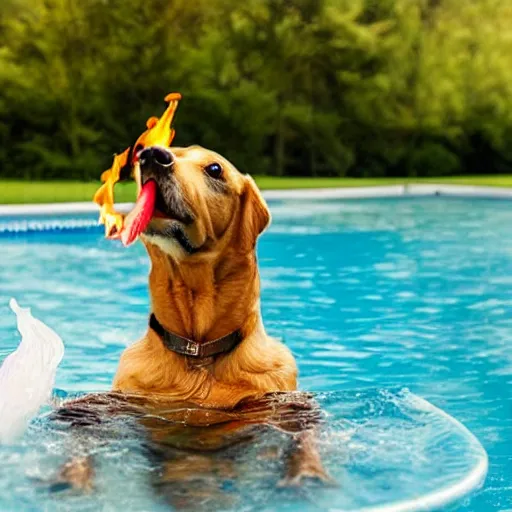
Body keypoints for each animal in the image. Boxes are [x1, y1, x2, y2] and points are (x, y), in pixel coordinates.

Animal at [54, 145, 330, 508]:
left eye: (215, 169)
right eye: (170, 150)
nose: (152, 155)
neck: (197, 351)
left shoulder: (281, 403)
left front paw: (306, 474)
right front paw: (72, 479)